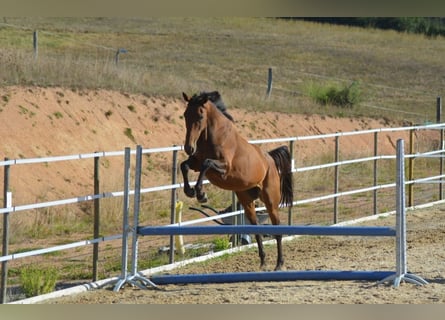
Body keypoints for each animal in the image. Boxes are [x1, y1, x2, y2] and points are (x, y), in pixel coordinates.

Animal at [179, 90, 294, 270]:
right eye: (185, 114)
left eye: (200, 115)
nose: (188, 148)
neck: (213, 137)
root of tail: (269, 158)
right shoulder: (195, 162)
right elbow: (184, 165)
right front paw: (189, 191)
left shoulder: (224, 169)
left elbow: (206, 164)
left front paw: (200, 194)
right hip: (247, 201)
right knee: (256, 228)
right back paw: (262, 262)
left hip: (270, 201)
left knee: (277, 230)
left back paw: (279, 264)